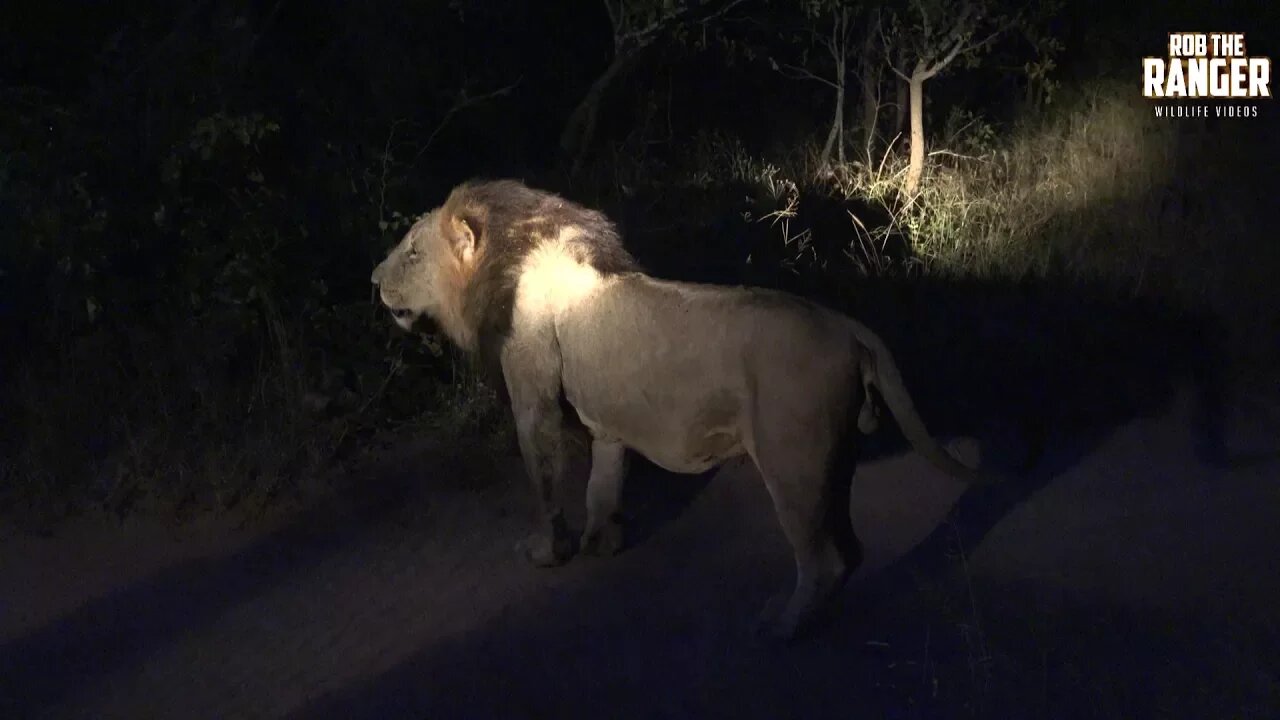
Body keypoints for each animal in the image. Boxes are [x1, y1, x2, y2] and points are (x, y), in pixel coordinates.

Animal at [373, 179, 998, 638]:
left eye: (412, 251)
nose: (374, 278)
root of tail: (848, 328)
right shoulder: (608, 425)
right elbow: (602, 485)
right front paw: (603, 544)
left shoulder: (534, 403)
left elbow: (547, 483)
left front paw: (547, 553)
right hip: (832, 458)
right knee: (849, 549)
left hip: (792, 459)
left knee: (823, 559)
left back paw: (782, 625)